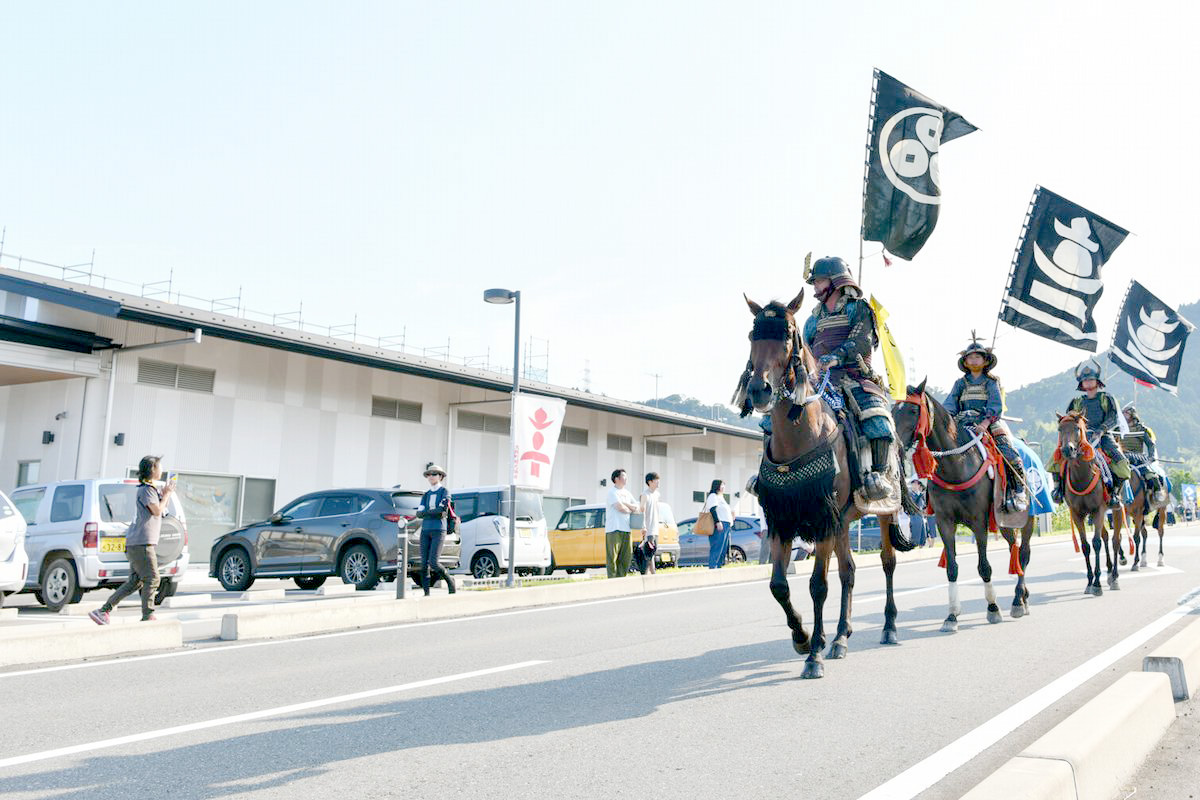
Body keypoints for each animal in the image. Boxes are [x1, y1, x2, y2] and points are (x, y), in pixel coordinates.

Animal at [729, 291, 916, 681]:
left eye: (788, 335)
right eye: (753, 336)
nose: (759, 390)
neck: (800, 436)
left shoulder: (822, 520)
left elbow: (818, 585)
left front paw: (813, 654)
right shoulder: (784, 521)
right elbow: (779, 585)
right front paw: (802, 638)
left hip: (883, 512)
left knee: (887, 562)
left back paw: (889, 627)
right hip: (843, 523)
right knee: (849, 572)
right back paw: (841, 637)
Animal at [892, 383, 1032, 633]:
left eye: (912, 410)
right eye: (892, 409)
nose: (895, 443)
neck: (956, 464)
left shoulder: (978, 521)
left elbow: (984, 567)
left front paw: (993, 608)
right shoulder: (944, 522)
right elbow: (952, 568)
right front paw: (951, 616)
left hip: (1025, 518)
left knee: (1023, 553)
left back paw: (1018, 601)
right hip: (1004, 523)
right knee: (1013, 550)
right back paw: (1022, 598)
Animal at [1060, 412, 1123, 594]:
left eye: (1076, 428)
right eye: (1060, 429)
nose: (1067, 449)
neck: (1082, 477)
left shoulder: (1099, 510)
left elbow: (1096, 543)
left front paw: (1096, 584)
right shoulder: (1076, 514)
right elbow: (1085, 546)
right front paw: (1089, 581)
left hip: (1115, 509)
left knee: (1115, 540)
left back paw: (1114, 577)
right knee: (1106, 536)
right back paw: (1108, 572)